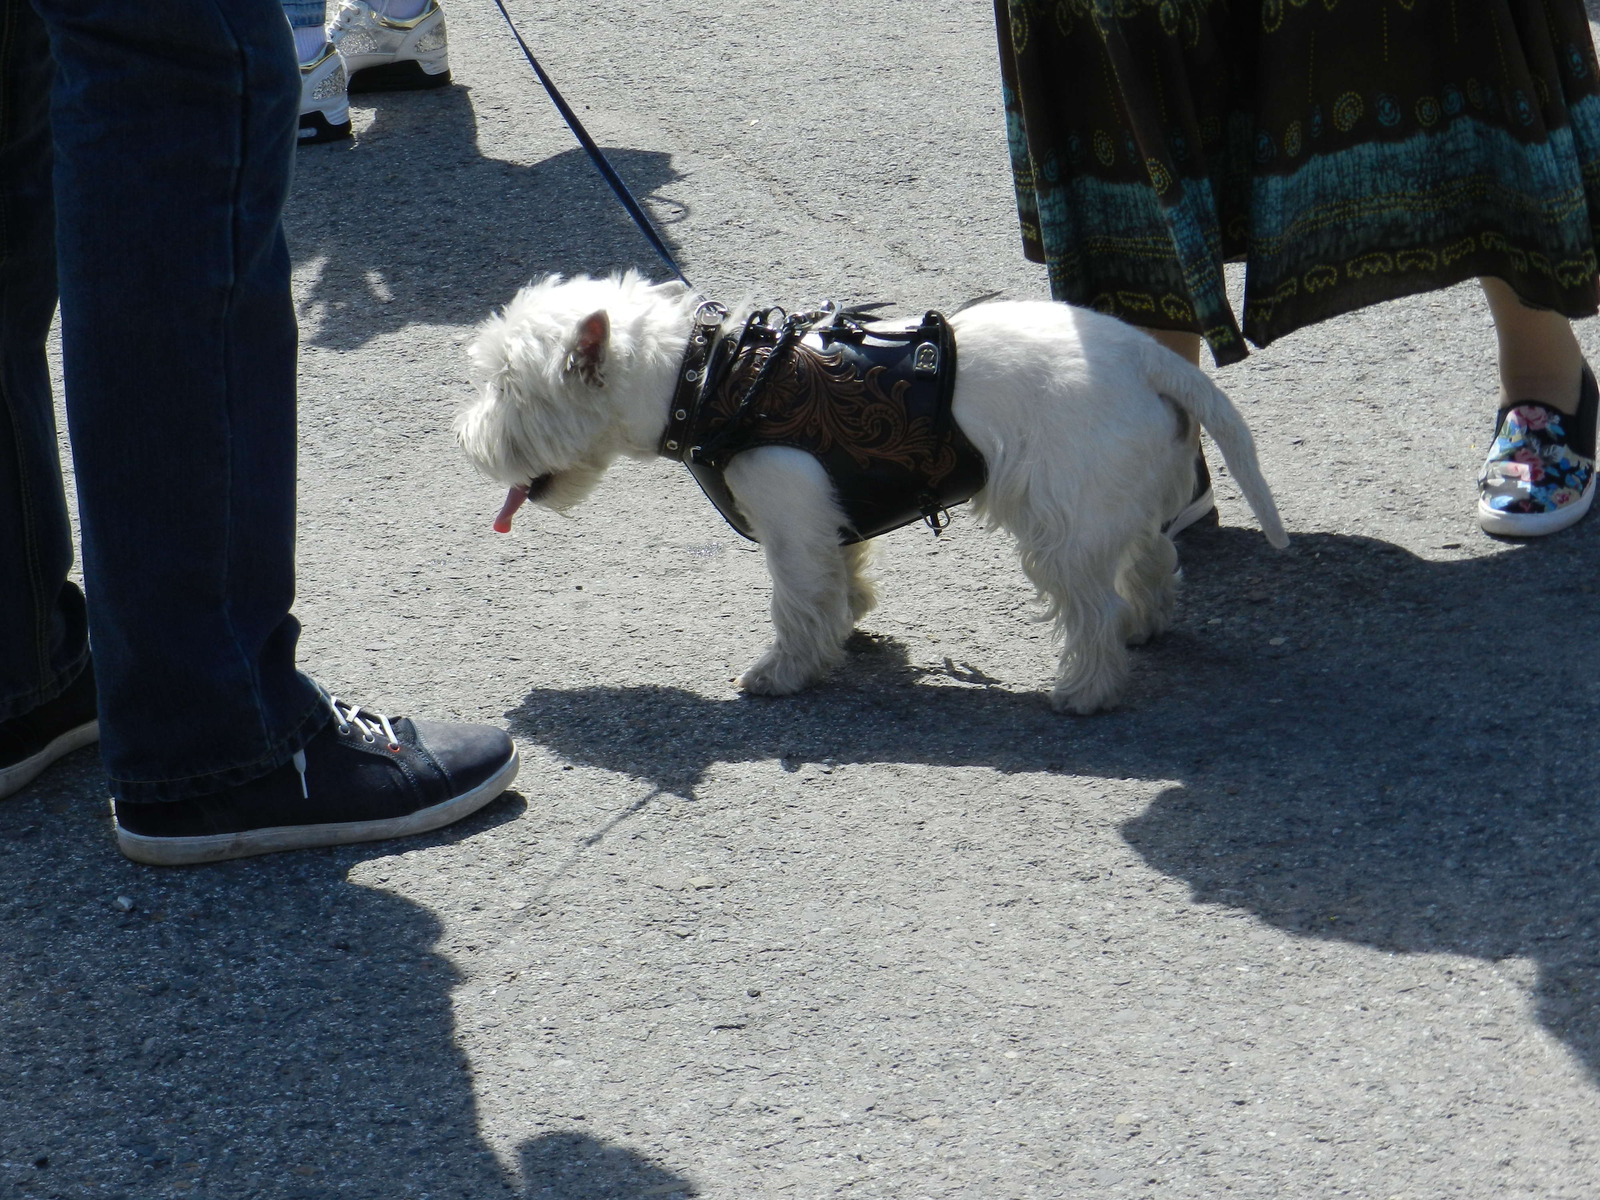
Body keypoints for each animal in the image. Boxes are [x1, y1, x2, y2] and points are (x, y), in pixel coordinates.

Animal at [454, 275, 1286, 713]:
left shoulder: (787, 519)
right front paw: (850, 626)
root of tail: (1148, 357)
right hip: (1114, 495)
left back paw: (1083, 688)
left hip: (1063, 520)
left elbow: (796, 602)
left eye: (509, 387)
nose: (464, 441)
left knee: (1092, 606)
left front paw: (781, 674)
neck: (707, 378)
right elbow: (839, 578)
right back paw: (1146, 627)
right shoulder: (826, 514)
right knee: (1151, 561)